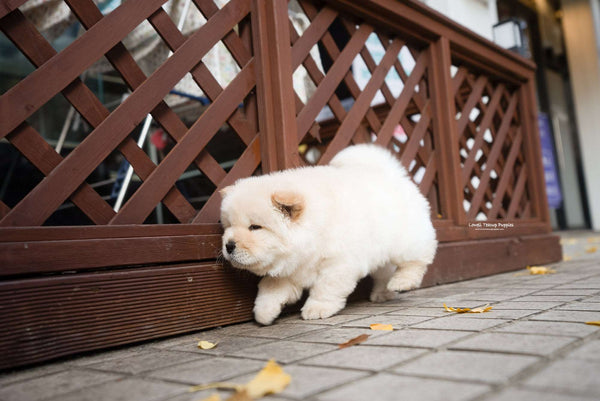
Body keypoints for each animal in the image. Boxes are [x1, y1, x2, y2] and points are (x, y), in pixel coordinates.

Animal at [219, 144, 436, 324]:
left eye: (255, 227)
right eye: (228, 226)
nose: (229, 245)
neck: (313, 230)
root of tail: (392, 174)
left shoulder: (337, 264)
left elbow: (325, 288)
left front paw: (317, 309)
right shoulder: (290, 270)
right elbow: (270, 287)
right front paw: (264, 312)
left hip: (406, 240)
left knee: (418, 259)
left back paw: (402, 282)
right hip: (380, 253)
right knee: (384, 272)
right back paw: (383, 293)